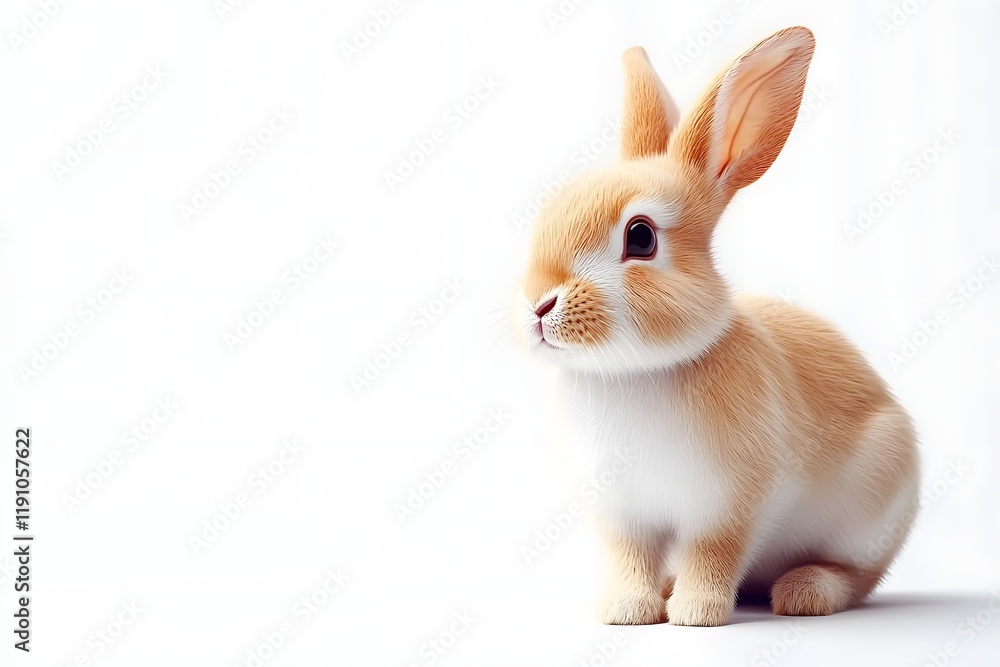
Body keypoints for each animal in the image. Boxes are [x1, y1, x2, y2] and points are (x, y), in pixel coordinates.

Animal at [514, 26, 919, 626]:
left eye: (640, 237)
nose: (537, 307)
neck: (637, 370)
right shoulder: (624, 515)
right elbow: (630, 559)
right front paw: (627, 611)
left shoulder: (730, 504)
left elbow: (714, 553)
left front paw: (696, 613)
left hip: (871, 514)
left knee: (859, 576)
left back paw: (806, 592)